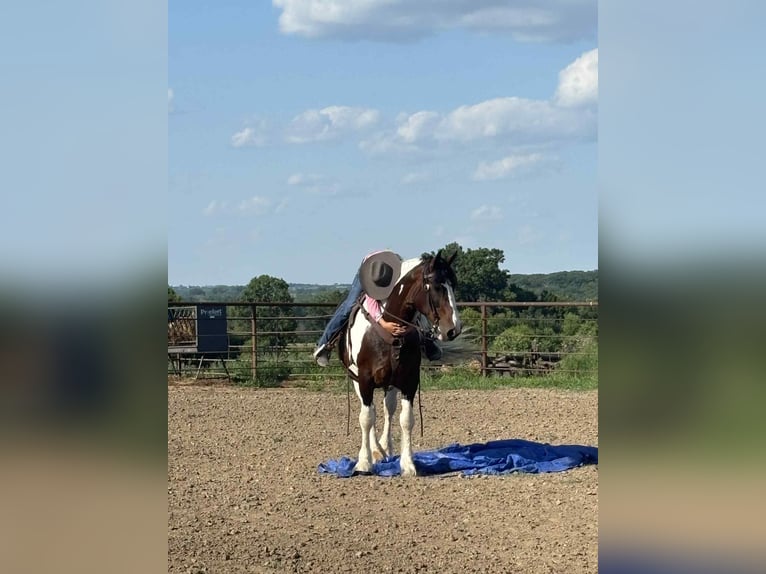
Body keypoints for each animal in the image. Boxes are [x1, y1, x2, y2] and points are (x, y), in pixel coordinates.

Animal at [338, 250, 462, 476]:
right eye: (436, 286)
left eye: (453, 284)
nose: (453, 329)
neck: (390, 331)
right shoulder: (364, 380)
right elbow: (366, 418)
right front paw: (364, 462)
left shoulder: (409, 381)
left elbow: (406, 420)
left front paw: (408, 464)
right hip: (357, 381)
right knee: (369, 411)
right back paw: (375, 451)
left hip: (391, 384)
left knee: (388, 410)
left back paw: (385, 448)